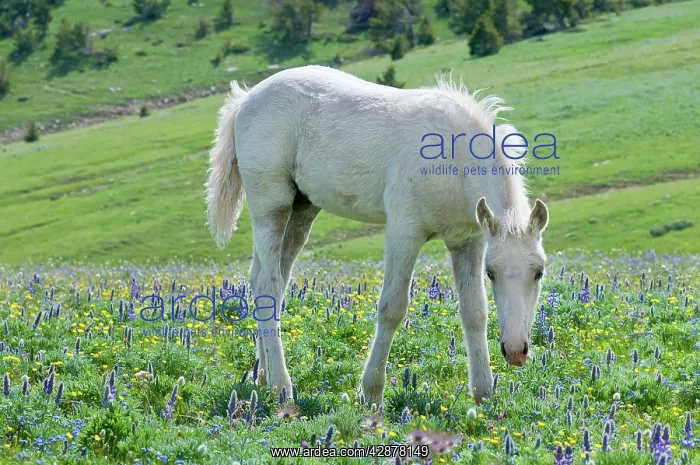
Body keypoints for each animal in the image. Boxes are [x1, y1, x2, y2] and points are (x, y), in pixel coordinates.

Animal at [205, 65, 549, 404]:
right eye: (492, 273)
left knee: (263, 279)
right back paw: (281, 387)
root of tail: (246, 99)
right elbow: (391, 308)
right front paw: (371, 392)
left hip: (302, 210)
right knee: (269, 284)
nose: (516, 351)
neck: (453, 160)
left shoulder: (467, 241)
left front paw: (484, 393)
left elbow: (474, 311)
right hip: (271, 206)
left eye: (539, 272)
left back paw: (262, 377)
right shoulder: (404, 232)